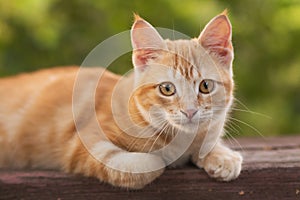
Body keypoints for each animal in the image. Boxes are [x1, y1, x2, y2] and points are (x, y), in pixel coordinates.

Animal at [0, 10, 241, 189]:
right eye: (167, 89)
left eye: (205, 86)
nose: (190, 111)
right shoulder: (84, 143)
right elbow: (144, 165)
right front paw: (163, 159)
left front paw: (223, 156)